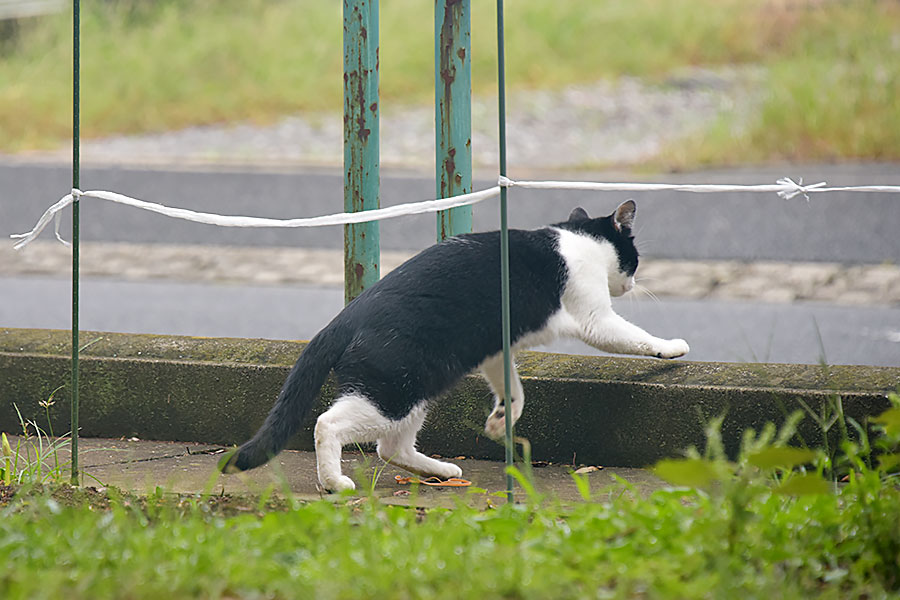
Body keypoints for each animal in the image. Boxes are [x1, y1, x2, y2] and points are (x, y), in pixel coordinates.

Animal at [223, 202, 688, 492]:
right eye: (634, 258)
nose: (631, 283)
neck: (580, 240)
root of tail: (343, 319)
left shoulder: (496, 348)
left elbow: (514, 389)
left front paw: (501, 421)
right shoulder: (593, 318)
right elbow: (631, 335)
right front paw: (671, 347)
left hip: (417, 387)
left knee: (390, 447)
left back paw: (442, 470)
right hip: (393, 389)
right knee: (328, 424)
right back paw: (334, 483)